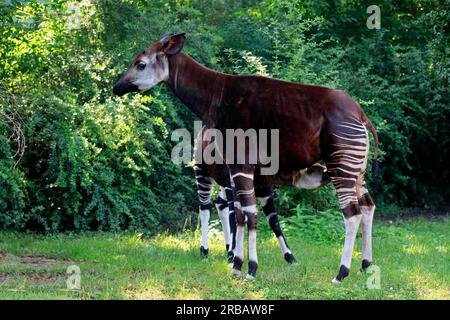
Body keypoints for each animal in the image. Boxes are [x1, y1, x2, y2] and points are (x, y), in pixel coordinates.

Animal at [194, 125, 330, 264]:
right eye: (313, 170)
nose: (328, 171)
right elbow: (235, 220)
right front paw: (233, 256)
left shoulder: (265, 192)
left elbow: (274, 223)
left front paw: (290, 258)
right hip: (202, 172)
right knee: (205, 207)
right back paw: (205, 251)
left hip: (222, 183)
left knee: (219, 203)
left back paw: (227, 248)